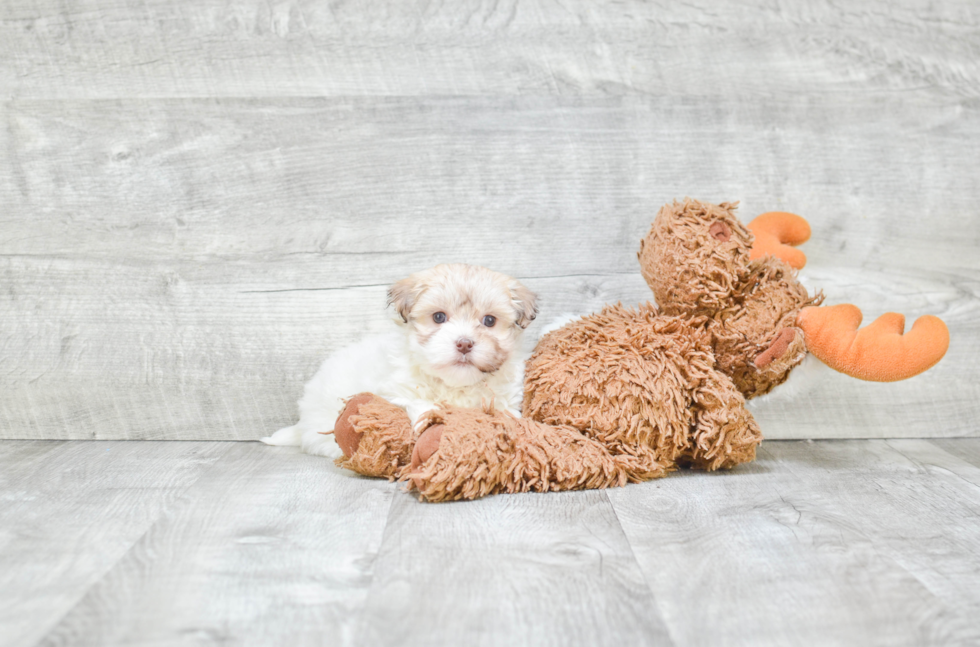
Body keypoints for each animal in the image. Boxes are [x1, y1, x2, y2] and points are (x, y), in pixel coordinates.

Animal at [260, 264, 536, 460]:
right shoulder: (393, 390)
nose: (464, 343)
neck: (455, 386)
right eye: (439, 317)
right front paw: (429, 419)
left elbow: (506, 414)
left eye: (489, 321)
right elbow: (417, 404)